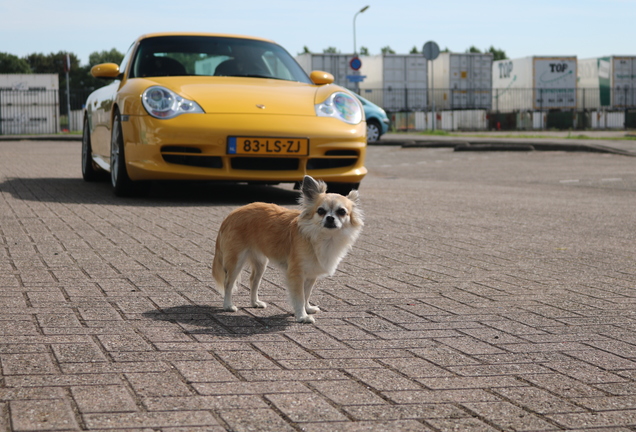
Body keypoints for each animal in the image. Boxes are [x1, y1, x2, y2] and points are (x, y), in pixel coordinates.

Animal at [212, 174, 362, 322]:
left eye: (341, 212)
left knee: (253, 281)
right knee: (228, 283)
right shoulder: (296, 274)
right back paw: (228, 305)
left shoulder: (310, 274)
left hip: (261, 263)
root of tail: (231, 215)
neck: (325, 238)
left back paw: (255, 302)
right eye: (320, 211)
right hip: (236, 261)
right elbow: (300, 297)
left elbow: (307, 293)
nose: (330, 218)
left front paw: (307, 309)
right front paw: (302, 316)